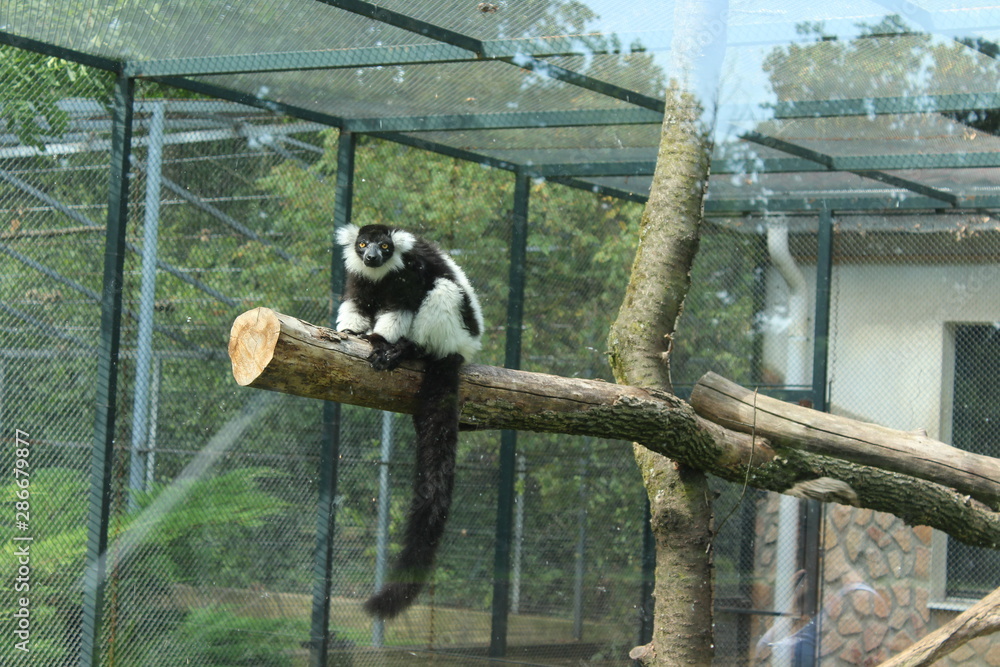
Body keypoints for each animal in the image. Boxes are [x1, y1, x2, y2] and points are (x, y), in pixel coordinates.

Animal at [335, 223, 484, 619]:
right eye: (362, 245)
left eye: (385, 247)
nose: (371, 256)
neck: (382, 273)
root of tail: (460, 351)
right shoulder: (358, 277)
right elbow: (357, 302)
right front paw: (351, 333)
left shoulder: (410, 272)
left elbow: (403, 304)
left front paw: (382, 341)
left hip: (453, 331)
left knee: (442, 292)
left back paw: (408, 350)